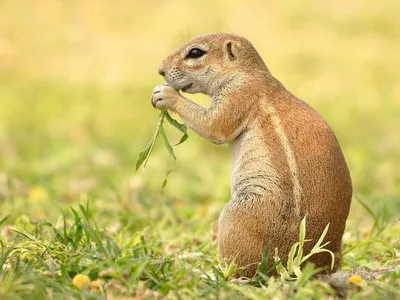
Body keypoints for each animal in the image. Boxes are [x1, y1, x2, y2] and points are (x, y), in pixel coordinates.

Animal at [152, 32, 352, 276]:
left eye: (195, 52)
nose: (160, 70)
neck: (245, 72)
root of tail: (310, 265)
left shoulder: (238, 95)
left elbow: (214, 126)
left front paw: (165, 94)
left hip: (235, 217)